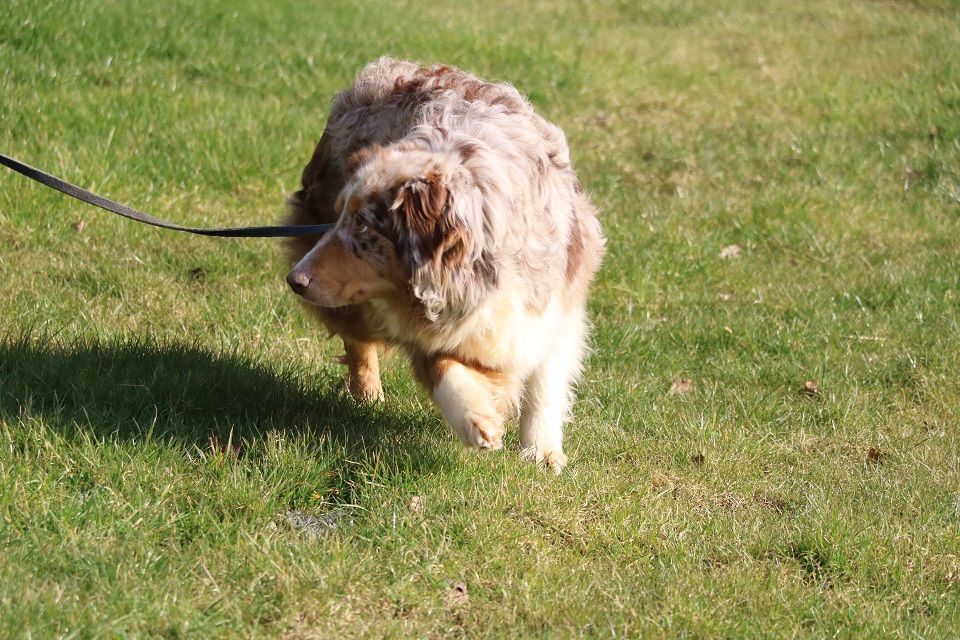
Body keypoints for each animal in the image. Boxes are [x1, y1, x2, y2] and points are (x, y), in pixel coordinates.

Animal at [282, 58, 604, 470]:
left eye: (364, 225)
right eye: (341, 218)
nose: (295, 279)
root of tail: (378, 71)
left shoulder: (556, 301)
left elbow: (545, 381)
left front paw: (541, 452)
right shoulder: (429, 315)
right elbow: (440, 367)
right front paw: (478, 420)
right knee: (357, 336)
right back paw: (367, 393)